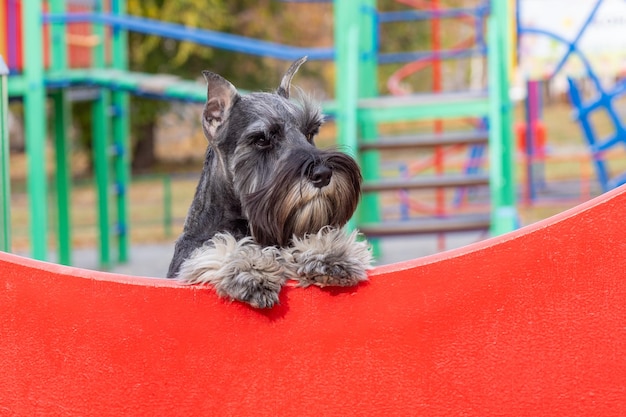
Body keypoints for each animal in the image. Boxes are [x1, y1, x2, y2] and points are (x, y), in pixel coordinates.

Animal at [167, 57, 370, 308]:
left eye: (310, 132)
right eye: (262, 140)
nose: (323, 174)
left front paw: (329, 250)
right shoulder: (190, 258)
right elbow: (220, 246)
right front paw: (252, 268)